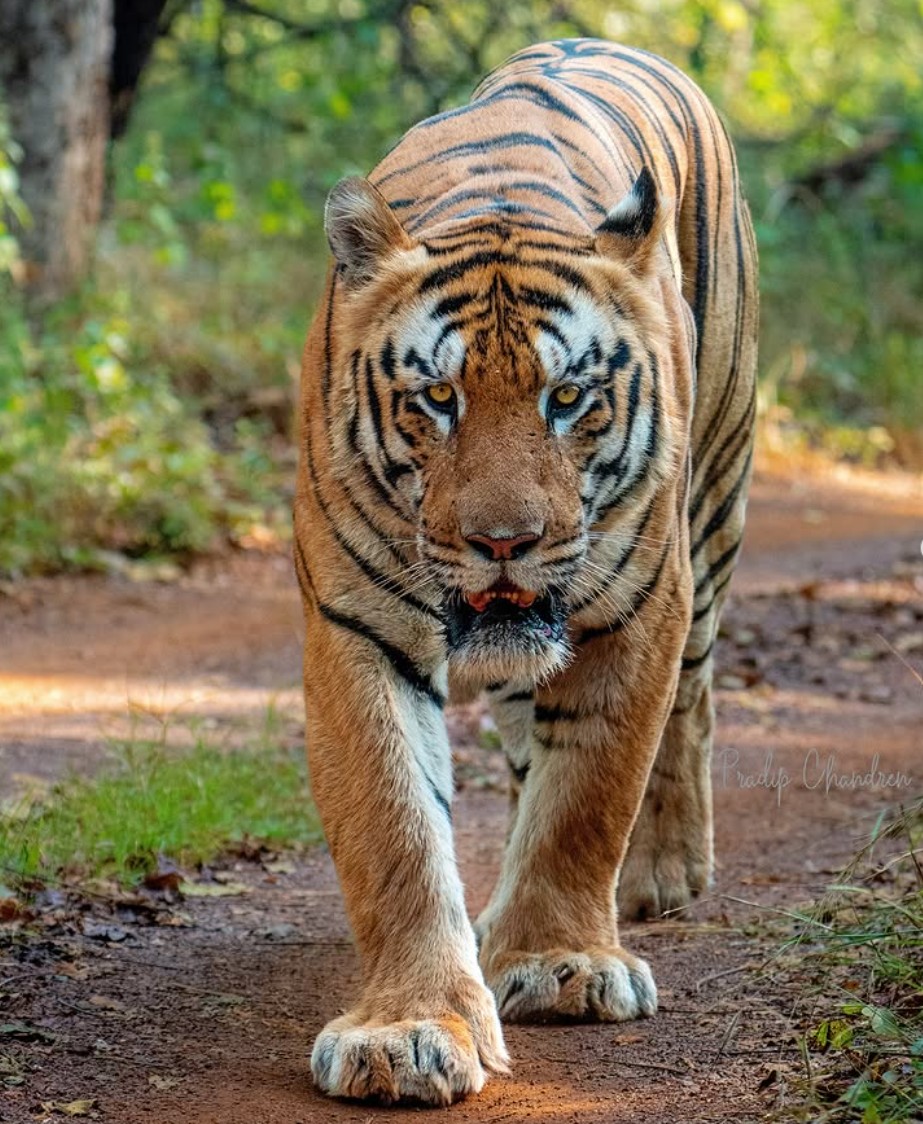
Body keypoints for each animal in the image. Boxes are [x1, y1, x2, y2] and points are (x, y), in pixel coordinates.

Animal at [293, 38, 757, 1106]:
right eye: (437, 398)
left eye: (567, 397)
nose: (503, 540)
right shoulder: (355, 626)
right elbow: (394, 831)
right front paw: (410, 1029)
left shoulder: (638, 608)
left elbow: (586, 795)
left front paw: (559, 963)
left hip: (716, 504)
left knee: (691, 704)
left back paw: (664, 870)